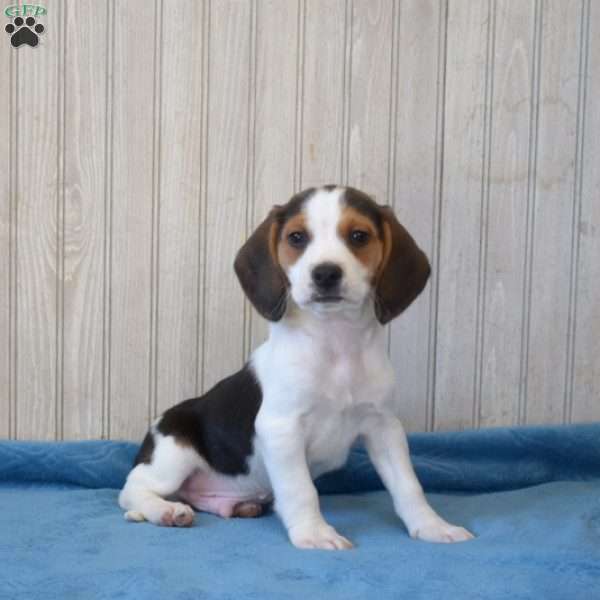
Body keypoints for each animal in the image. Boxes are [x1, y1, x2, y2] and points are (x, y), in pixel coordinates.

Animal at [118, 186, 474, 548]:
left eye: (359, 236)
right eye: (297, 237)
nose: (326, 273)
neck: (336, 344)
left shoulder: (384, 427)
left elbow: (408, 486)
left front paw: (432, 525)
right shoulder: (282, 428)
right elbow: (301, 490)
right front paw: (315, 533)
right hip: (173, 455)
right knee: (133, 490)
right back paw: (166, 510)